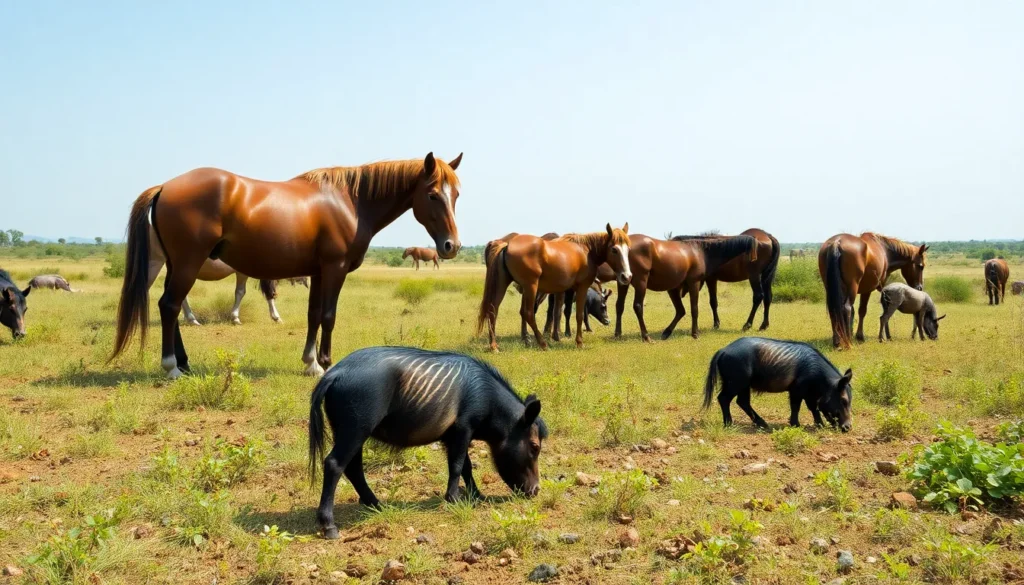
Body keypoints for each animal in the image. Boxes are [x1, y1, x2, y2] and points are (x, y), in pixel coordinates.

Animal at [111, 152, 463, 378]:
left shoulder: (318, 272)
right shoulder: (334, 269)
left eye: (457, 194)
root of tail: (164, 186)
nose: (452, 246)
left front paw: (311, 362)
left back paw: (184, 363)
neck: (350, 201)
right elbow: (328, 316)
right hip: (187, 263)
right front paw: (326, 363)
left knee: (170, 305)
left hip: (176, 265)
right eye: (433, 195)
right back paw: (171, 367)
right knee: (169, 305)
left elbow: (313, 315)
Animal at [308, 346, 546, 539]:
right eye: (535, 446)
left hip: (348, 430)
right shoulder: (463, 429)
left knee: (354, 468)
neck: (487, 399)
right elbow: (457, 466)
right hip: (356, 428)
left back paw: (376, 504)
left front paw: (477, 496)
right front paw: (454, 498)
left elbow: (466, 467)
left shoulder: (452, 436)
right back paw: (329, 526)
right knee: (334, 464)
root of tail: (335, 373)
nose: (536, 490)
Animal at [478, 224, 632, 351]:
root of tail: (507, 244)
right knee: (528, 313)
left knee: (493, 310)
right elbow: (578, 315)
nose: (627, 276)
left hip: (503, 284)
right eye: (614, 249)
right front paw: (578, 342)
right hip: (531, 287)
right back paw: (542, 343)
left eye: (628, 250)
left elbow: (558, 312)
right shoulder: (580, 287)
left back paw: (494, 346)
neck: (587, 250)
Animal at [609, 234, 757, 341]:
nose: (754, 260)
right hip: (641, 283)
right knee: (638, 306)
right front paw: (695, 333)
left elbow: (681, 311)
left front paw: (667, 332)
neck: (700, 251)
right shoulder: (694, 283)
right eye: (753, 248)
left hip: (623, 281)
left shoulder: (674, 288)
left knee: (619, 305)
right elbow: (694, 309)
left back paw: (618, 334)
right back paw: (645, 336)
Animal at [702, 337, 853, 432]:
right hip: (736, 383)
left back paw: (763, 424)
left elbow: (813, 407)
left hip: (743, 385)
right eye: (844, 400)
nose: (848, 427)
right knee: (724, 398)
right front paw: (796, 424)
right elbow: (796, 406)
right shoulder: (797, 390)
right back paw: (729, 423)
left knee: (742, 402)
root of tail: (722, 350)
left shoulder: (809, 394)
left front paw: (820, 425)